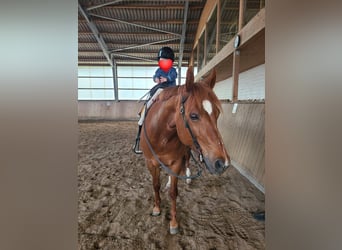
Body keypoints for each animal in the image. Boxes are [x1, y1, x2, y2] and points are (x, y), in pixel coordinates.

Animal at [138, 66, 230, 234]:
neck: (161, 135)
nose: (223, 163)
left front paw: (173, 223)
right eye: (193, 116)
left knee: (186, 160)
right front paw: (156, 208)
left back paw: (187, 178)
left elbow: (173, 193)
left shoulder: (175, 162)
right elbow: (155, 185)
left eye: (217, 113)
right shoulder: (150, 163)